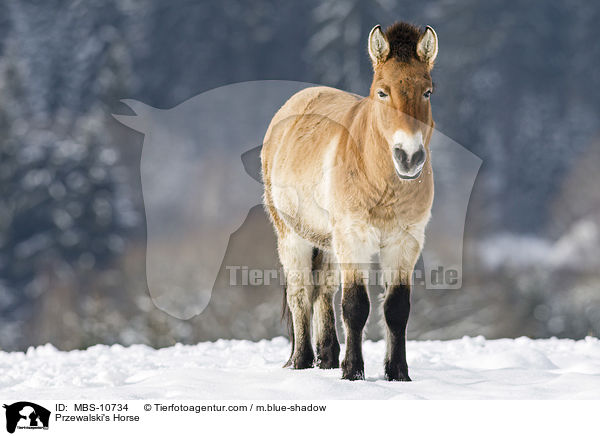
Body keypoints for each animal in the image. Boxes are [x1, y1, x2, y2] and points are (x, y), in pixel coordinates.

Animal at [260, 22, 438, 380]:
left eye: (427, 92)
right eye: (382, 92)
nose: (409, 157)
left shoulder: (405, 242)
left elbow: (397, 309)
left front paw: (397, 373)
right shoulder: (353, 239)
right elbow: (356, 306)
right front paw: (353, 371)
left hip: (326, 242)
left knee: (322, 293)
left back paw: (327, 358)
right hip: (293, 237)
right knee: (301, 294)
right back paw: (301, 359)